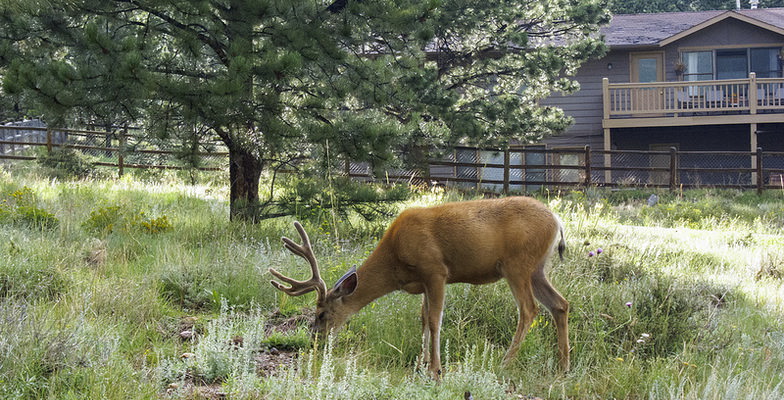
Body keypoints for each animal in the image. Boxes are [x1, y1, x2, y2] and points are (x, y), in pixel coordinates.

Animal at [270, 198, 568, 380]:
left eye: (321, 313)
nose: (314, 339)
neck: (395, 261)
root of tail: (557, 219)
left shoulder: (436, 270)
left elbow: (435, 320)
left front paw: (436, 370)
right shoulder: (423, 282)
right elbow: (423, 318)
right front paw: (420, 363)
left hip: (517, 263)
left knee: (529, 309)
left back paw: (505, 362)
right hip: (537, 268)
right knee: (560, 304)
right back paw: (563, 367)